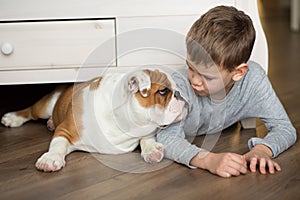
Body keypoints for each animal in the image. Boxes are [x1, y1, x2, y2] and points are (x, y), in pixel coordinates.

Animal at [0, 69, 188, 172]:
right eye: (163, 91)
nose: (180, 94)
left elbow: (147, 137)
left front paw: (151, 150)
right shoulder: (65, 129)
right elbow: (58, 143)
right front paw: (50, 158)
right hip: (45, 106)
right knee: (31, 111)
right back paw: (12, 118)